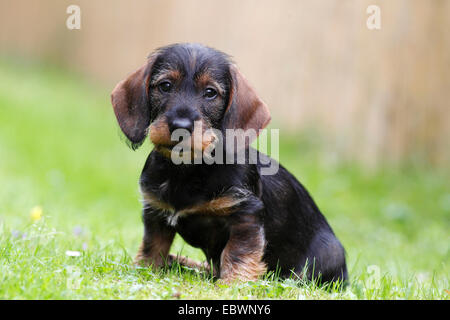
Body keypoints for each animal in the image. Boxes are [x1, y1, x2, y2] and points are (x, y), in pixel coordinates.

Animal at [111, 43, 348, 284]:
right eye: (165, 85)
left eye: (210, 92)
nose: (180, 126)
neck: (189, 169)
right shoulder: (156, 213)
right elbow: (152, 246)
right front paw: (144, 268)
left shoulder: (245, 216)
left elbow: (238, 254)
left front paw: (232, 284)